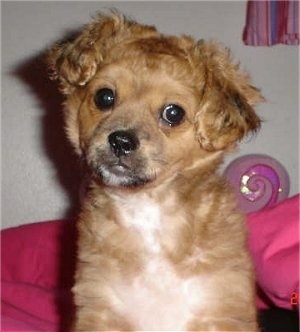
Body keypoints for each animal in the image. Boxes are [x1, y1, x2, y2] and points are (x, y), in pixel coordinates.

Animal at [47, 11, 262, 330]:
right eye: (104, 97)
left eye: (173, 113)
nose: (121, 141)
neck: (149, 210)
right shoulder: (100, 307)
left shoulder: (221, 308)